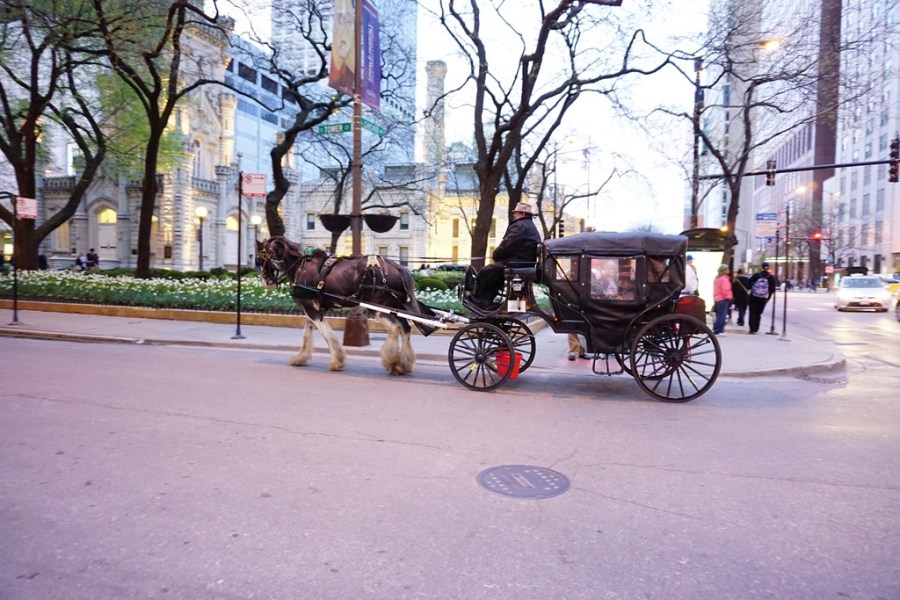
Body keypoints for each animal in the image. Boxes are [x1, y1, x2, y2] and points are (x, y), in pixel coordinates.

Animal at [256, 236, 436, 375]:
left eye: (260, 258)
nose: (266, 281)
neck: (301, 268)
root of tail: (398, 267)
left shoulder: (312, 310)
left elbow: (327, 335)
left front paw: (337, 360)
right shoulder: (309, 307)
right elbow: (307, 334)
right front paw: (300, 358)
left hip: (377, 308)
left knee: (396, 328)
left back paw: (392, 361)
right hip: (393, 306)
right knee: (405, 328)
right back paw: (404, 363)